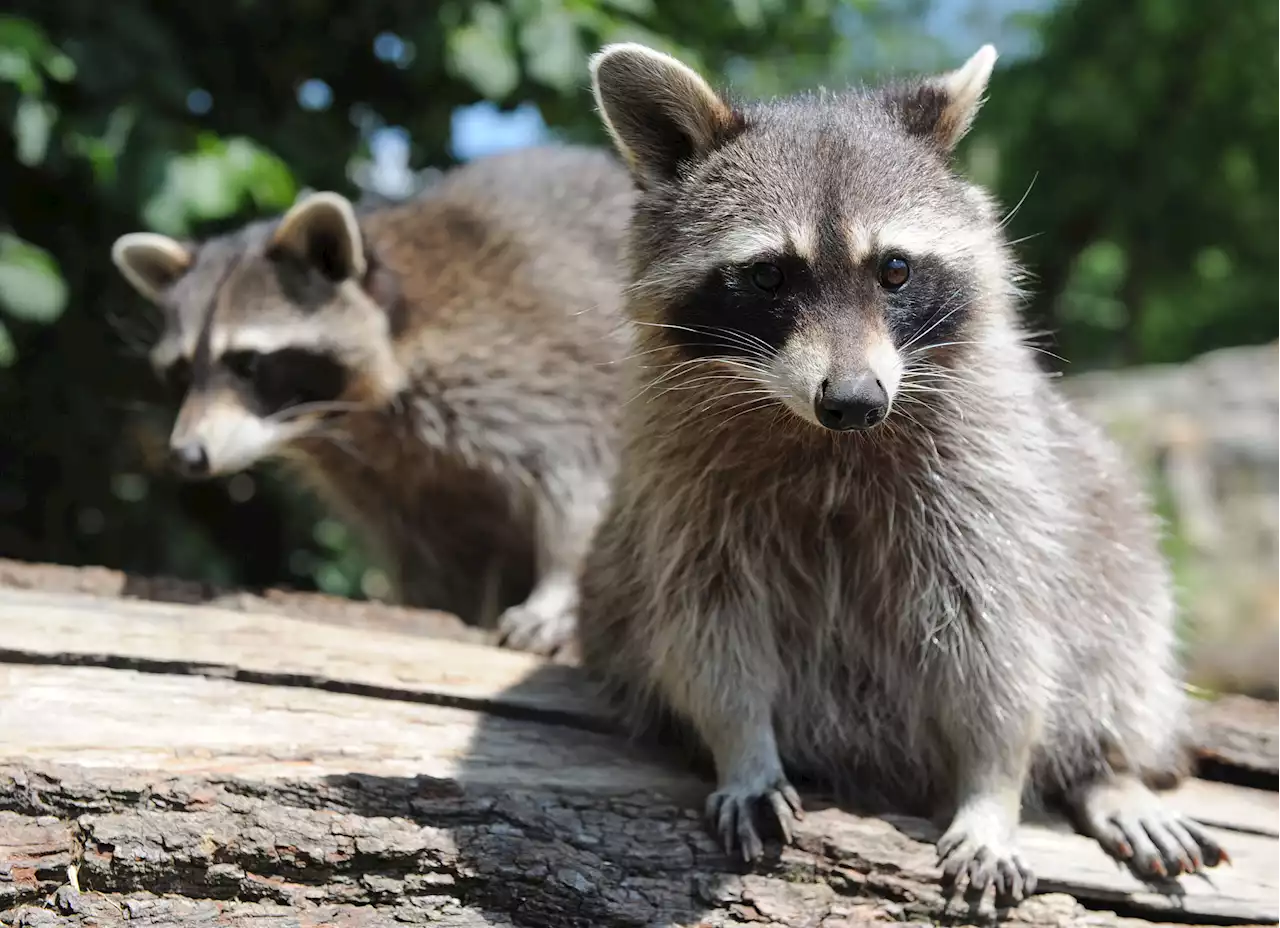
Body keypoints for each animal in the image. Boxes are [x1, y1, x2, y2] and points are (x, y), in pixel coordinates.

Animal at [112, 144, 632, 652]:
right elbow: (429, 558)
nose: (187, 455)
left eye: (248, 364)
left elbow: (580, 476)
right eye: (182, 371)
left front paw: (559, 588)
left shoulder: (533, 368)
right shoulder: (380, 478)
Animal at [581, 39, 1228, 901]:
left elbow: (1001, 646)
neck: (822, 439)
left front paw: (994, 789)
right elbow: (706, 629)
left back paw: (1109, 770)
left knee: (1120, 646)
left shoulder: (989, 477)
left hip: (1113, 544)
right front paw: (741, 746)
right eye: (767, 276)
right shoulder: (681, 487)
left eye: (894, 270)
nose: (855, 402)